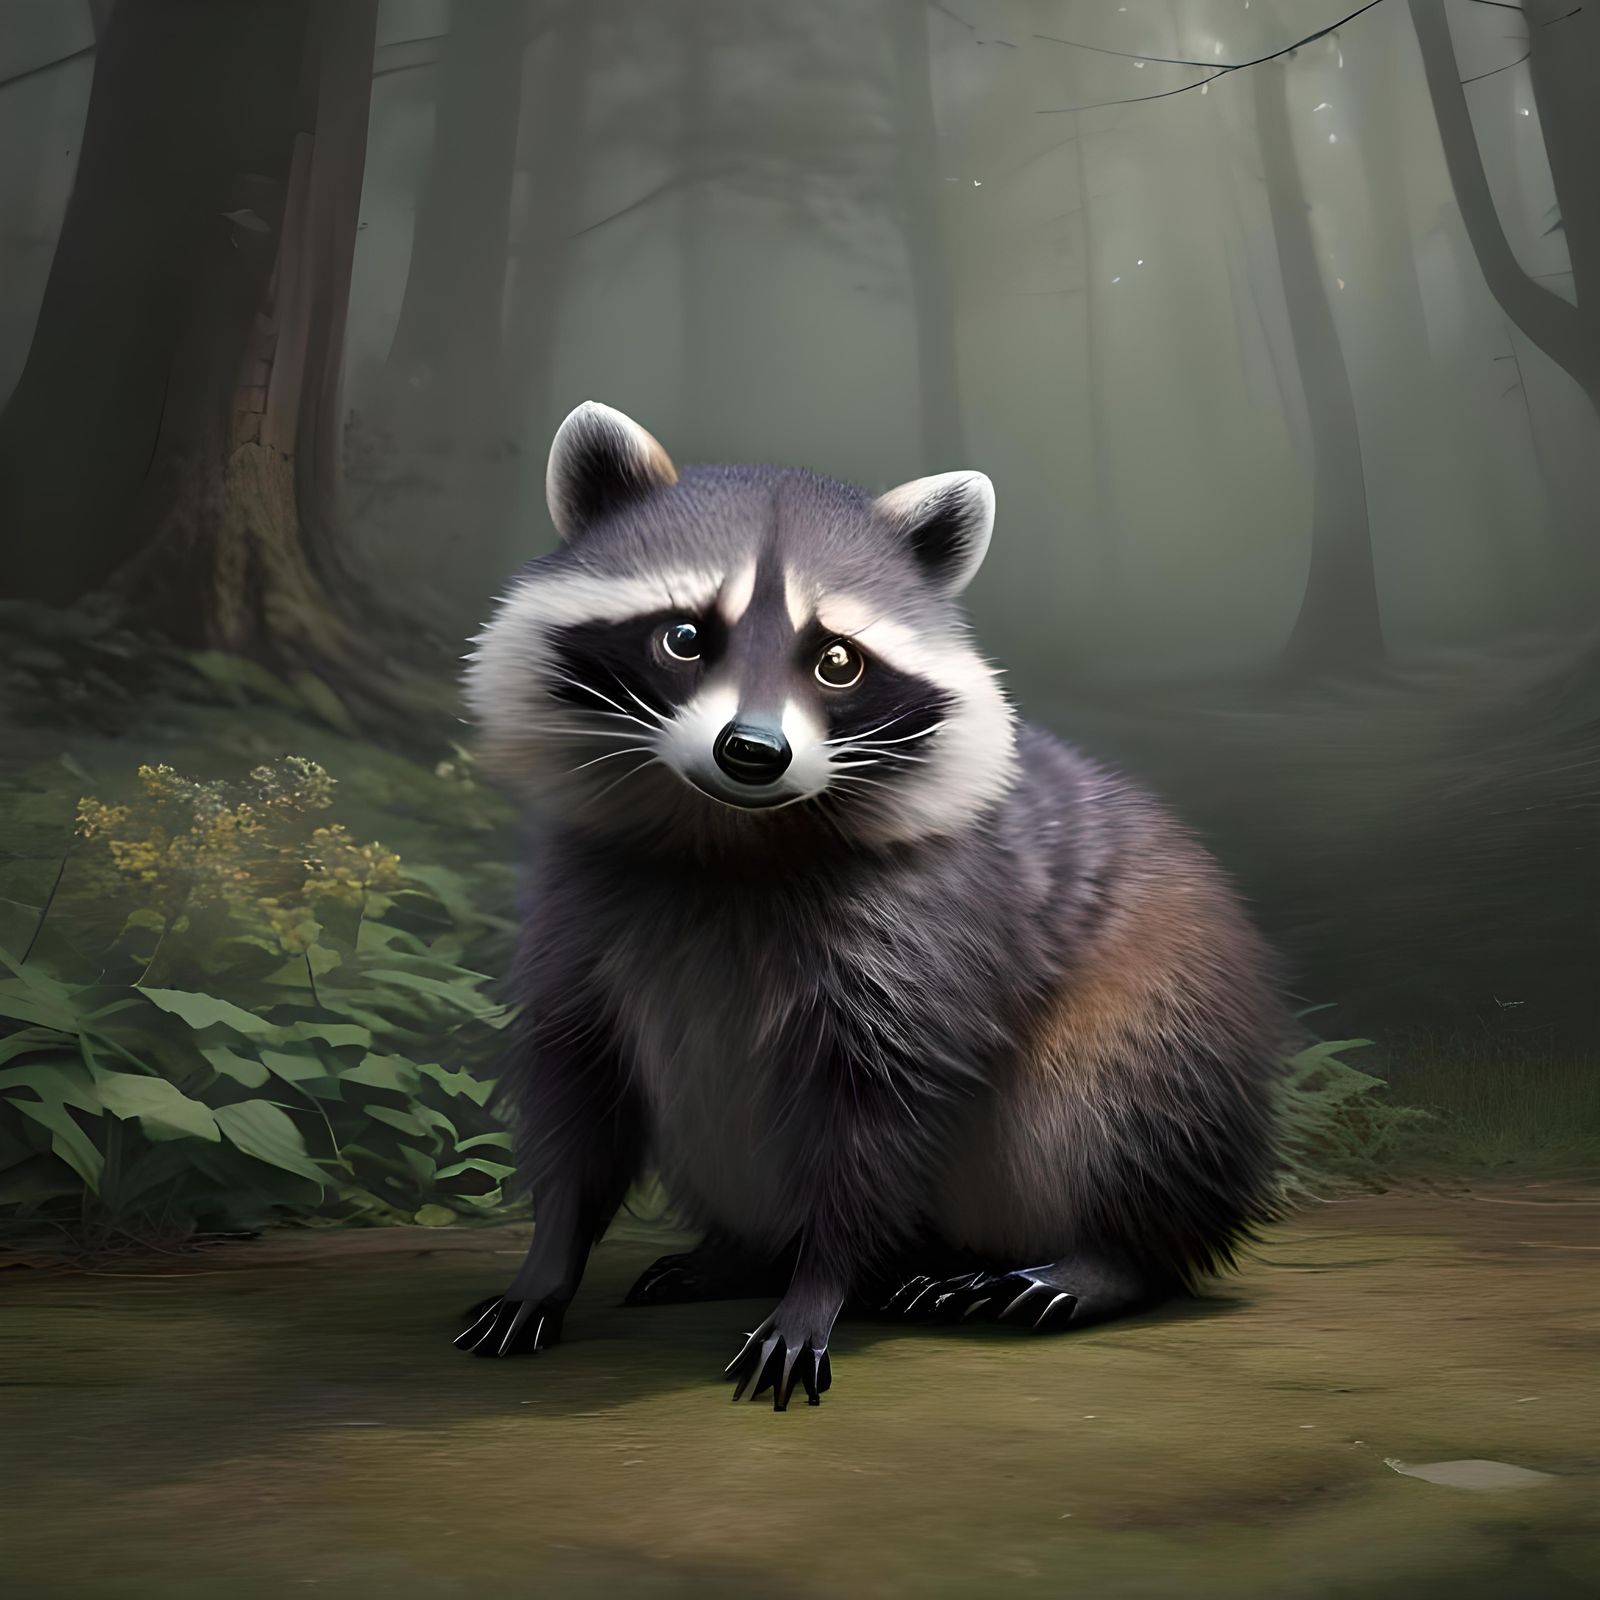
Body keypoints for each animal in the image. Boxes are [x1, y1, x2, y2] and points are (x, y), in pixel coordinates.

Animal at [456, 401, 1291, 1411]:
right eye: (685, 637)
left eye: (837, 660)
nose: (752, 752)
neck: (732, 837)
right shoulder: (578, 899)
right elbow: (576, 1083)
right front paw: (549, 1262)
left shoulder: (924, 927)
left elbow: (880, 1114)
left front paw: (819, 1289)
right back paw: (745, 1253)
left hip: (1169, 1014)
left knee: (1112, 1108)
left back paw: (1096, 1259)